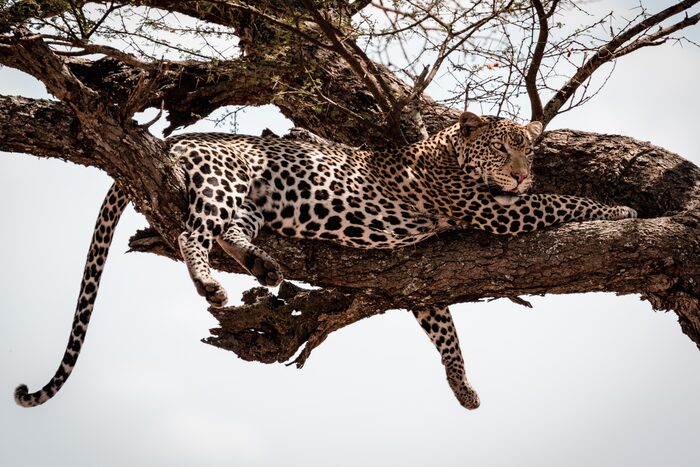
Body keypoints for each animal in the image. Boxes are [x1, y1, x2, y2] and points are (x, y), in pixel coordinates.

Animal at [14, 112, 637, 409]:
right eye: (502, 148)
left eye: (528, 149)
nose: (522, 172)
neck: (450, 152)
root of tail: (173, 141)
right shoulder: (490, 210)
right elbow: (562, 201)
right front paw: (624, 208)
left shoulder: (421, 277)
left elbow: (444, 328)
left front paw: (462, 387)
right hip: (221, 181)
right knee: (193, 232)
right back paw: (212, 285)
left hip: (248, 203)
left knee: (231, 232)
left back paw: (264, 267)